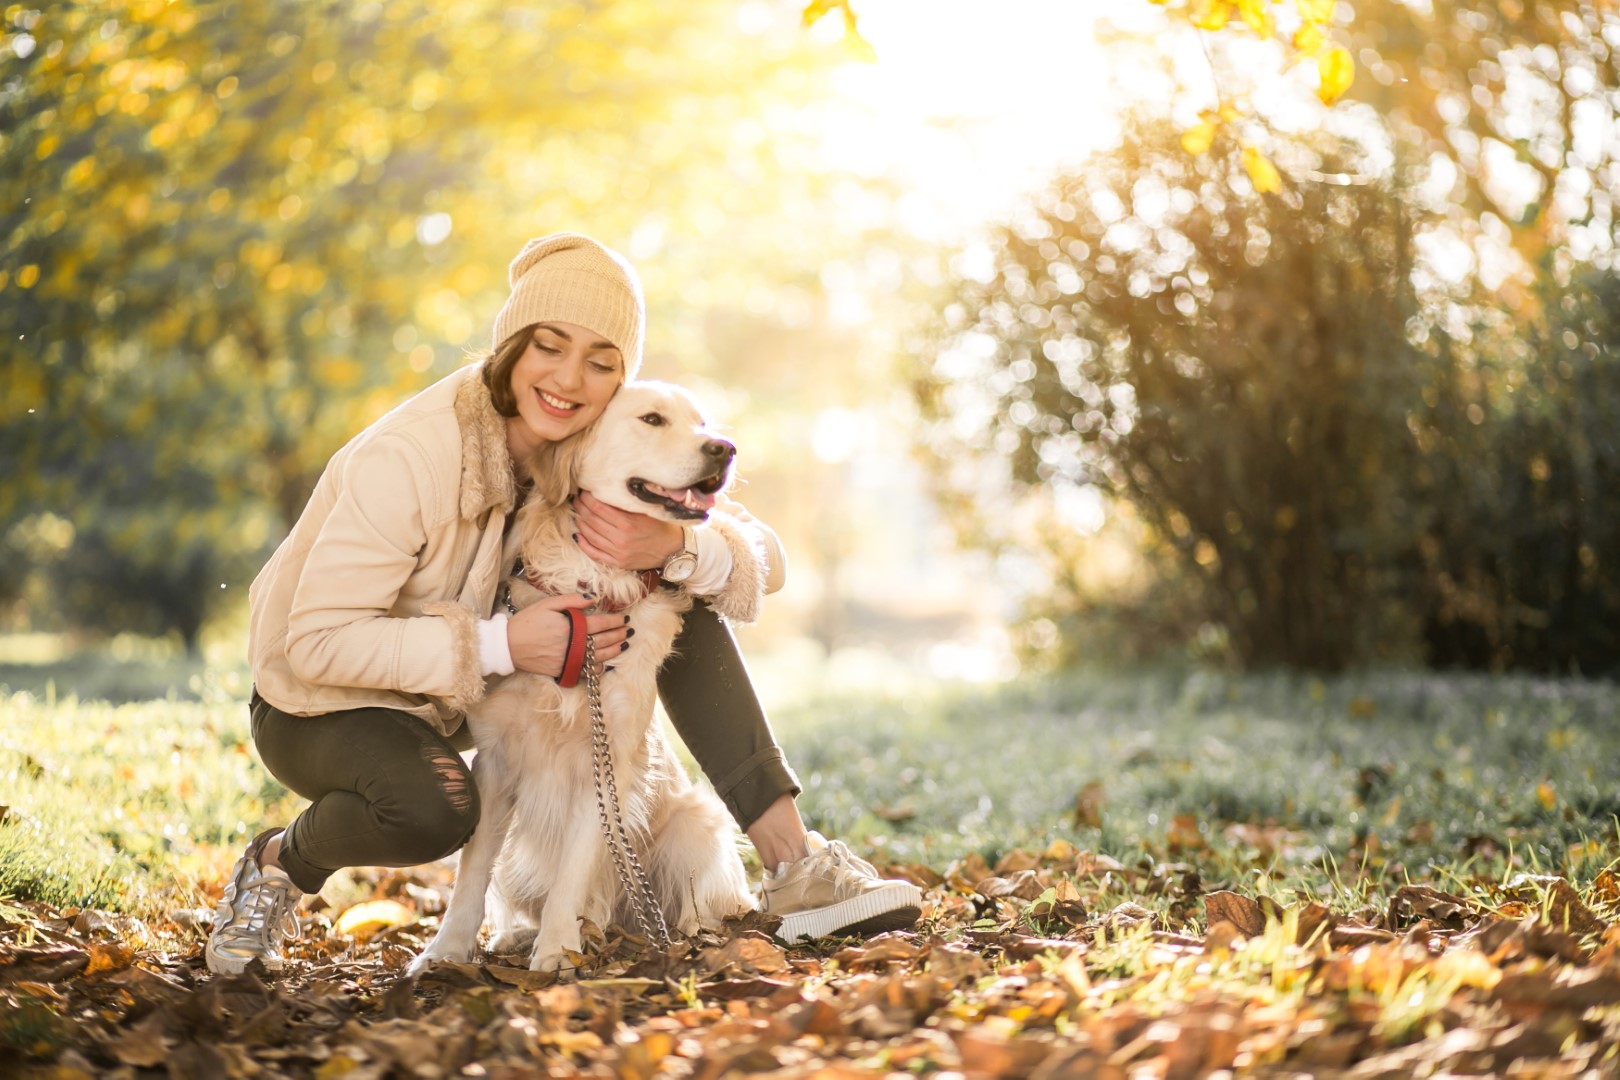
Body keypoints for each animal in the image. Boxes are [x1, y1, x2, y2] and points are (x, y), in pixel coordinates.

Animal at [411, 382, 751, 977]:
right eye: (652, 419)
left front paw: (554, 952)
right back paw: (522, 936)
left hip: (695, 822)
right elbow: (472, 872)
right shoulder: (495, 763)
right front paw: (446, 952)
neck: (588, 593)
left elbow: (573, 868)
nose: (725, 449)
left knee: (695, 898)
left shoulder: (606, 759)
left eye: (703, 423)